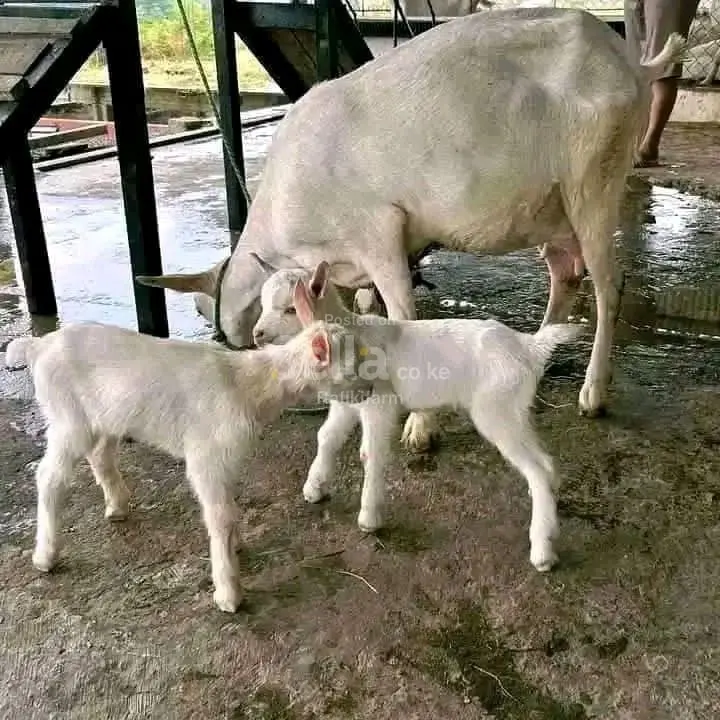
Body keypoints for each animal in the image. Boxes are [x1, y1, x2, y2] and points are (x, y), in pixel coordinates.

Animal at [4, 319, 372, 613]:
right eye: (352, 367)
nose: (369, 390)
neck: (249, 383)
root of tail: (39, 344)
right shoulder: (206, 456)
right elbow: (219, 515)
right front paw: (229, 591)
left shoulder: (226, 458)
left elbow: (228, 509)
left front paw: (235, 545)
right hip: (69, 419)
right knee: (49, 477)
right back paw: (46, 555)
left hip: (107, 416)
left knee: (100, 455)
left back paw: (117, 505)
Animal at [136, 9, 687, 453]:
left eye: (206, 311)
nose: (243, 341)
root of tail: (631, 61)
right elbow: (368, 307)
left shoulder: (378, 231)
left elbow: (402, 312)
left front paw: (420, 428)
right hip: (549, 207)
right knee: (565, 272)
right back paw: (537, 356)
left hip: (594, 179)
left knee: (608, 282)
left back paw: (593, 392)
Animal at [255, 262, 583, 572]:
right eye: (263, 303)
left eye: (289, 309)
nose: (257, 335)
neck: (352, 334)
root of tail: (529, 346)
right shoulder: (348, 403)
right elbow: (327, 437)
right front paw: (314, 488)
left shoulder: (379, 402)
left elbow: (370, 453)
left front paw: (369, 517)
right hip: (514, 409)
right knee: (546, 463)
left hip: (496, 409)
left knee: (538, 468)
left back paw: (542, 550)